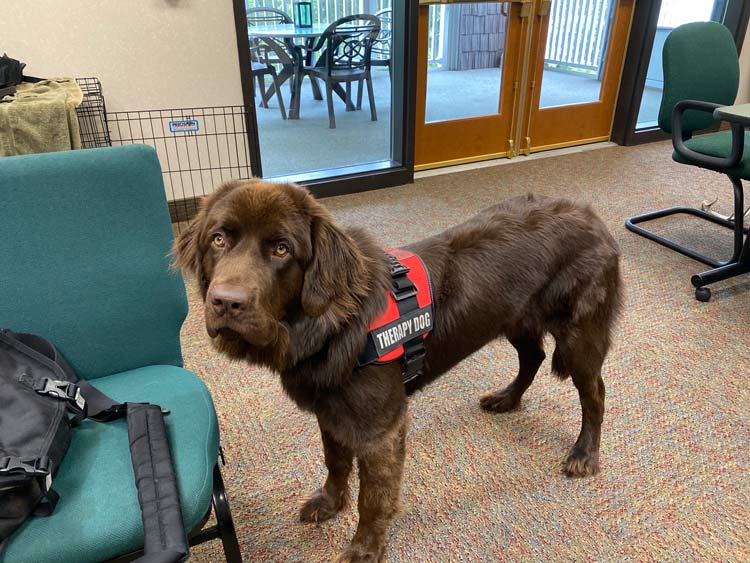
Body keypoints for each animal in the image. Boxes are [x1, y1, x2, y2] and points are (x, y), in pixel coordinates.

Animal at [175, 182, 624, 563]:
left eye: (282, 249)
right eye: (218, 239)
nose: (225, 302)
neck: (333, 324)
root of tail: (594, 218)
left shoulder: (380, 429)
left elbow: (373, 498)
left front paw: (364, 548)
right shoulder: (330, 407)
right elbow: (335, 462)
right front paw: (329, 503)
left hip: (579, 336)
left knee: (595, 393)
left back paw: (584, 454)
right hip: (516, 318)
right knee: (532, 357)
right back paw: (506, 399)